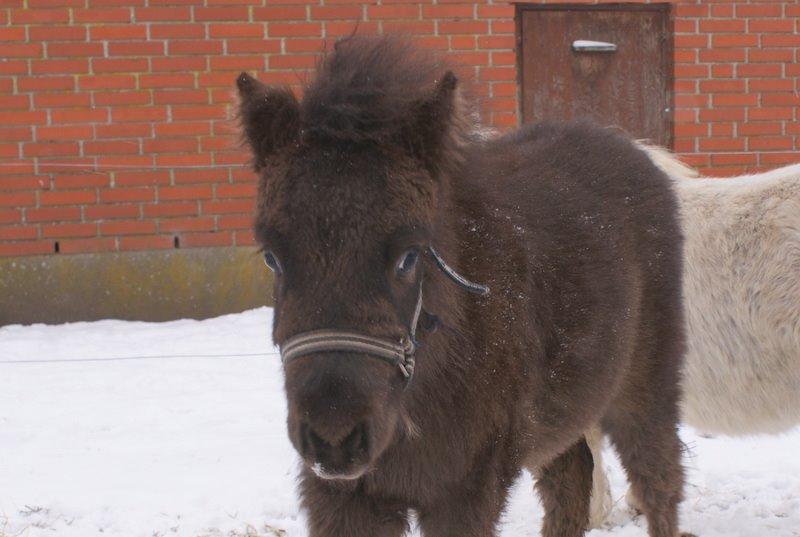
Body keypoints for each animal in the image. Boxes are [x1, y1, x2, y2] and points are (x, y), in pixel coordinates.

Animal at [236, 37, 688, 536]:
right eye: (272, 256)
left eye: (409, 255)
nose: (334, 435)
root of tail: (637, 152)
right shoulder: (343, 496)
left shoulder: (466, 488)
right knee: (571, 482)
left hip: (645, 388)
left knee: (659, 481)